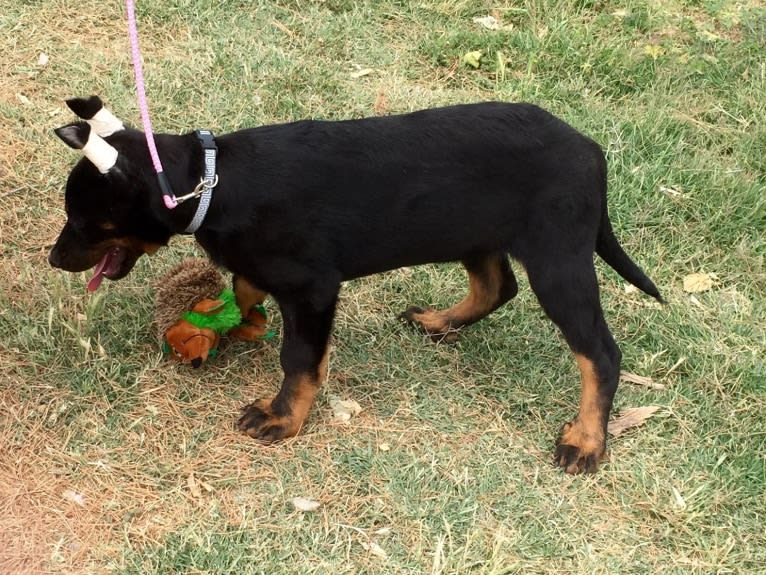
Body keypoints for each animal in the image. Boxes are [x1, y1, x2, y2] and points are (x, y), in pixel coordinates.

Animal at [48, 97, 664, 474]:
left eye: (85, 222)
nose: (54, 259)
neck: (211, 182)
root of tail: (590, 149)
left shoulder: (314, 288)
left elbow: (299, 359)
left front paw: (281, 417)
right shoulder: (276, 274)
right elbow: (246, 289)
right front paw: (241, 323)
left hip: (558, 260)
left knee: (599, 353)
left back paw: (586, 441)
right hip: (471, 231)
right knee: (496, 286)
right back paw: (441, 322)